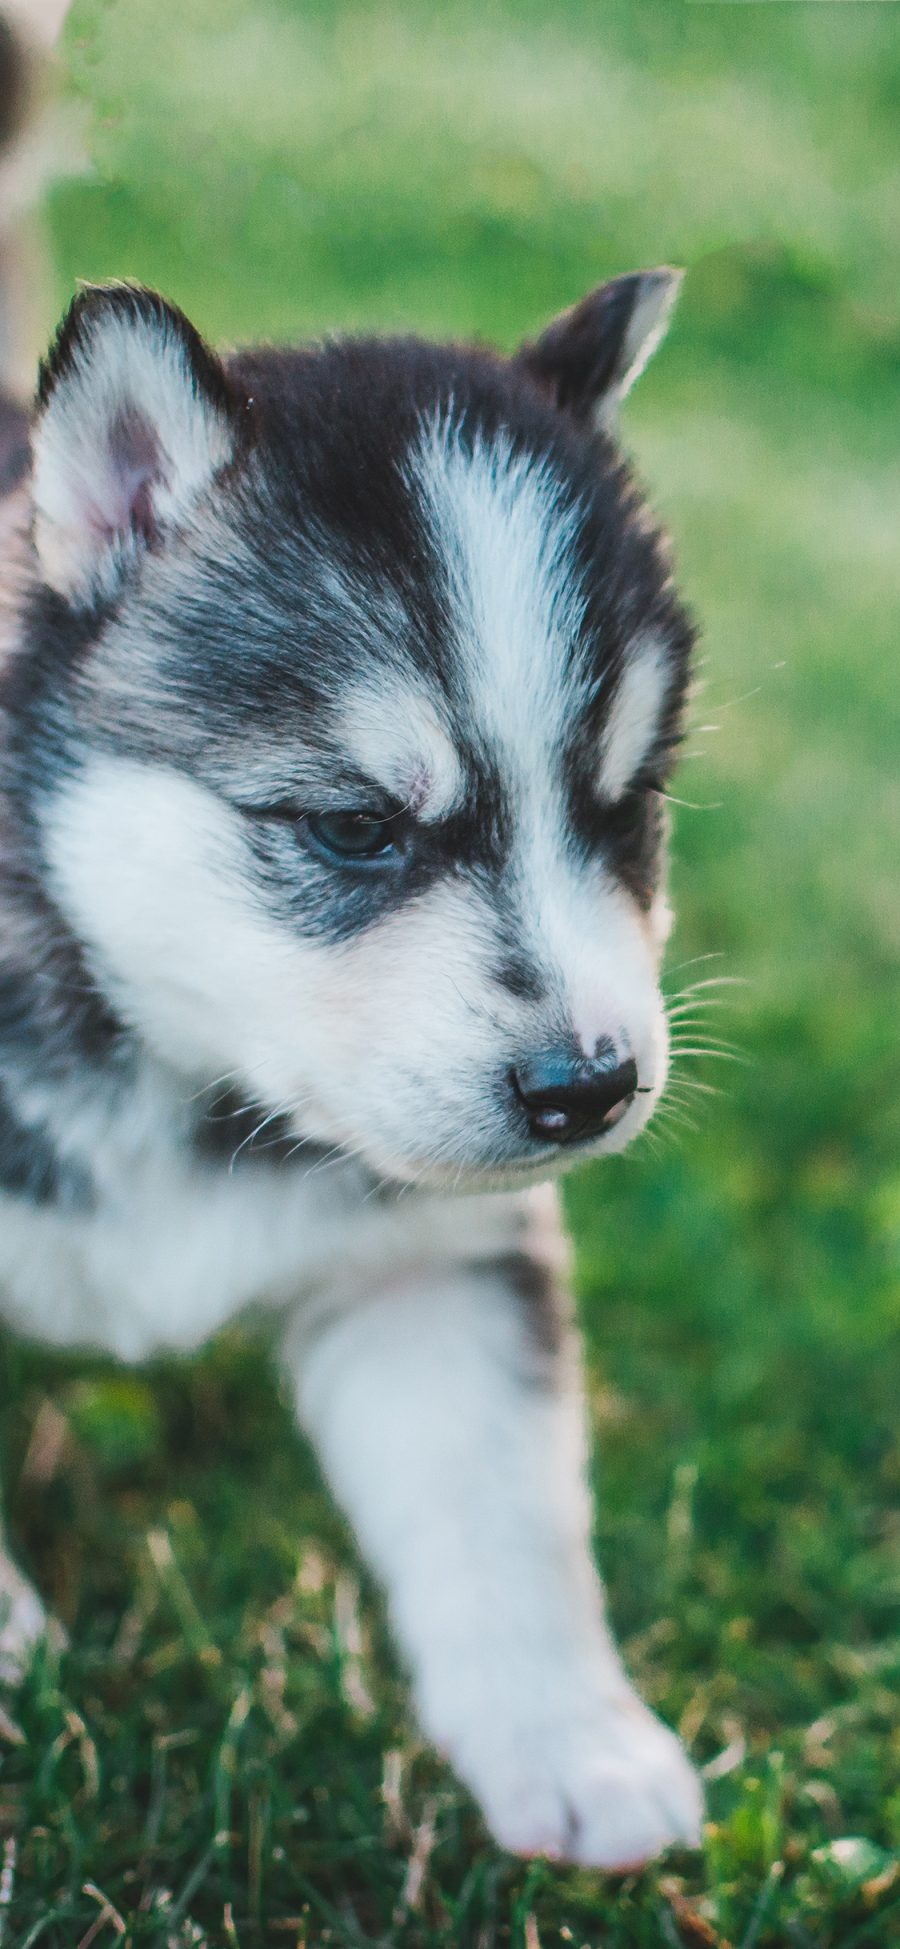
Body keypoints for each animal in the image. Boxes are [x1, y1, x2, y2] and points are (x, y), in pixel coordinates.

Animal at [0, 267, 701, 1863]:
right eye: (356, 826)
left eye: (626, 805)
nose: (588, 1087)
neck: (169, 1063)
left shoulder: (432, 1266)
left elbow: (506, 1517)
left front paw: (571, 1742)